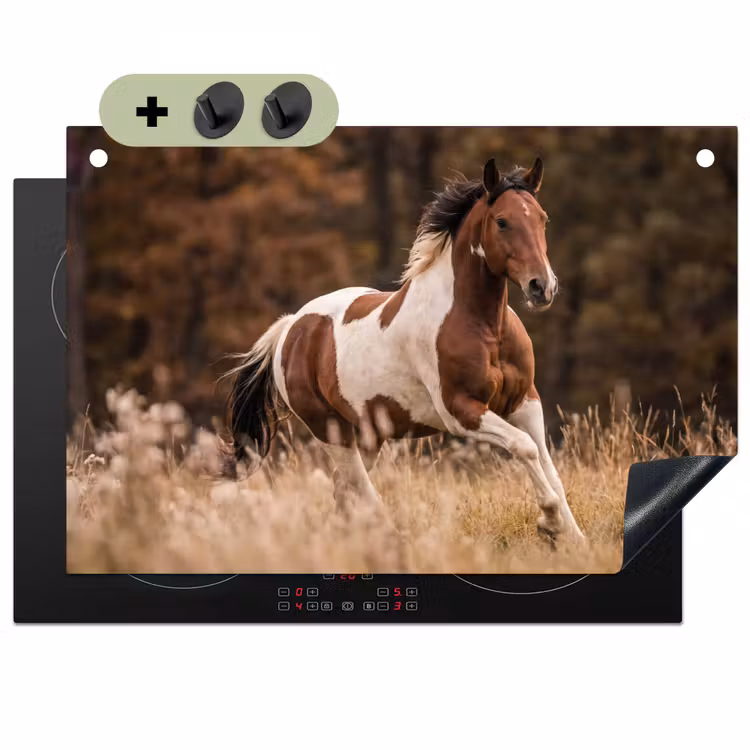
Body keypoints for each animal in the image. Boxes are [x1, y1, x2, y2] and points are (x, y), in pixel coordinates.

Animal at [226, 157, 585, 541]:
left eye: (542, 218)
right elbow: (524, 447)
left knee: (344, 487)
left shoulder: (524, 402)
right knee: (359, 488)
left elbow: (548, 466)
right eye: (502, 221)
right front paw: (549, 522)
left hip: (369, 434)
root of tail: (291, 326)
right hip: (330, 429)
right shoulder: (461, 412)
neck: (484, 327)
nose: (542, 287)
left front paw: (575, 538)